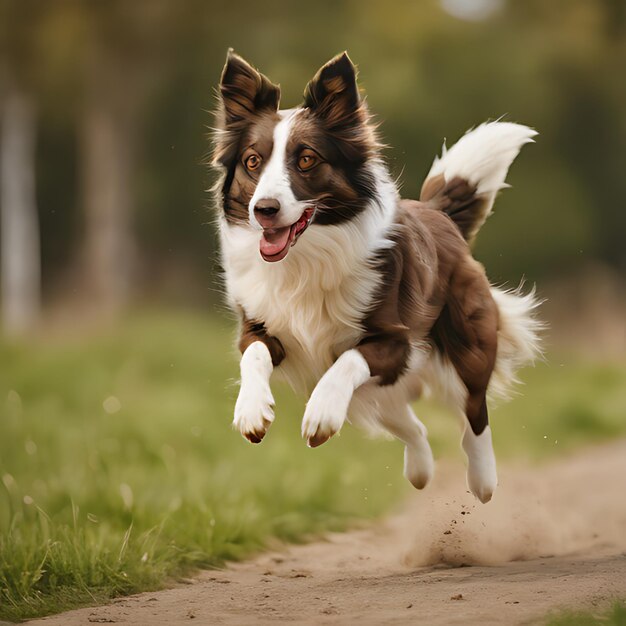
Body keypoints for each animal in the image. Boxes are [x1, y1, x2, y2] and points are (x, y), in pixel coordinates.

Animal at [212, 50, 540, 502]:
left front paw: (321, 412)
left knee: (474, 411)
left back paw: (483, 479)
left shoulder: (396, 341)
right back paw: (420, 470)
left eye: (306, 159)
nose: (264, 209)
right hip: (382, 393)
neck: (305, 259)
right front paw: (251, 410)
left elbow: (348, 359)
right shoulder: (261, 326)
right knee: (414, 426)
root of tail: (437, 212)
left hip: (466, 344)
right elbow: (254, 356)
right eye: (252, 161)